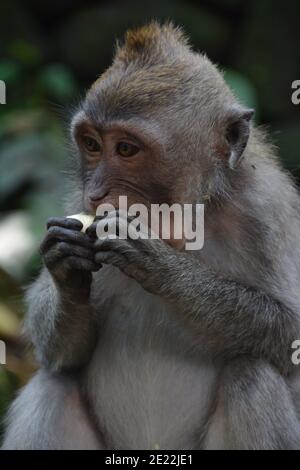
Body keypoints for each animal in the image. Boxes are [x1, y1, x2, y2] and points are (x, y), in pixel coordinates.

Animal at [1, 23, 300, 452]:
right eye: (91, 144)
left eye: (126, 148)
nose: (96, 194)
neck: (191, 217)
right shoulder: (74, 198)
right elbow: (63, 356)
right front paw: (65, 265)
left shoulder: (269, 210)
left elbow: (291, 332)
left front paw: (164, 267)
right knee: (53, 383)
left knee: (252, 375)